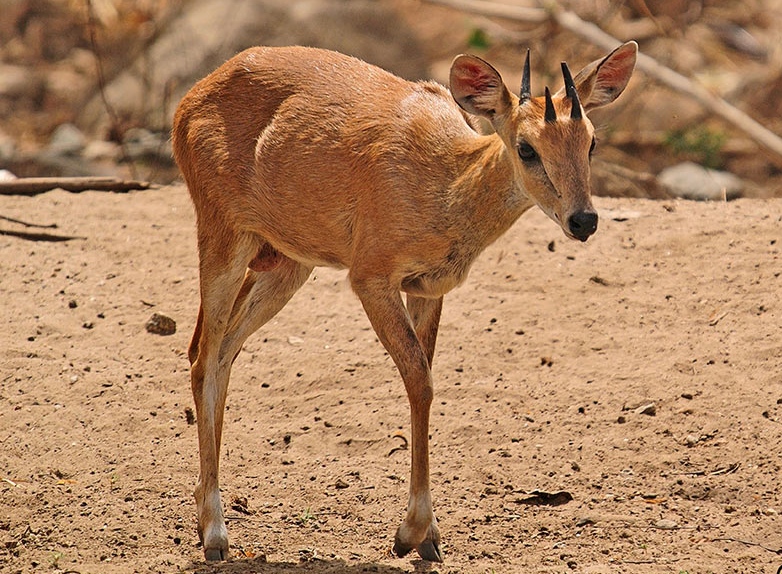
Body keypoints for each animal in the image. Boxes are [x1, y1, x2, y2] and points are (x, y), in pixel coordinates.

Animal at [172, 42, 636, 564]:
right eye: (526, 147)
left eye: (591, 142)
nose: (584, 220)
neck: (445, 189)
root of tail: (186, 105)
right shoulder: (370, 275)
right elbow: (420, 380)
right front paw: (413, 531)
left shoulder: (427, 288)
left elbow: (425, 380)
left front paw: (428, 536)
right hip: (223, 233)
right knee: (203, 356)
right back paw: (215, 533)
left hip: (287, 262)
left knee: (221, 351)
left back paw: (206, 512)